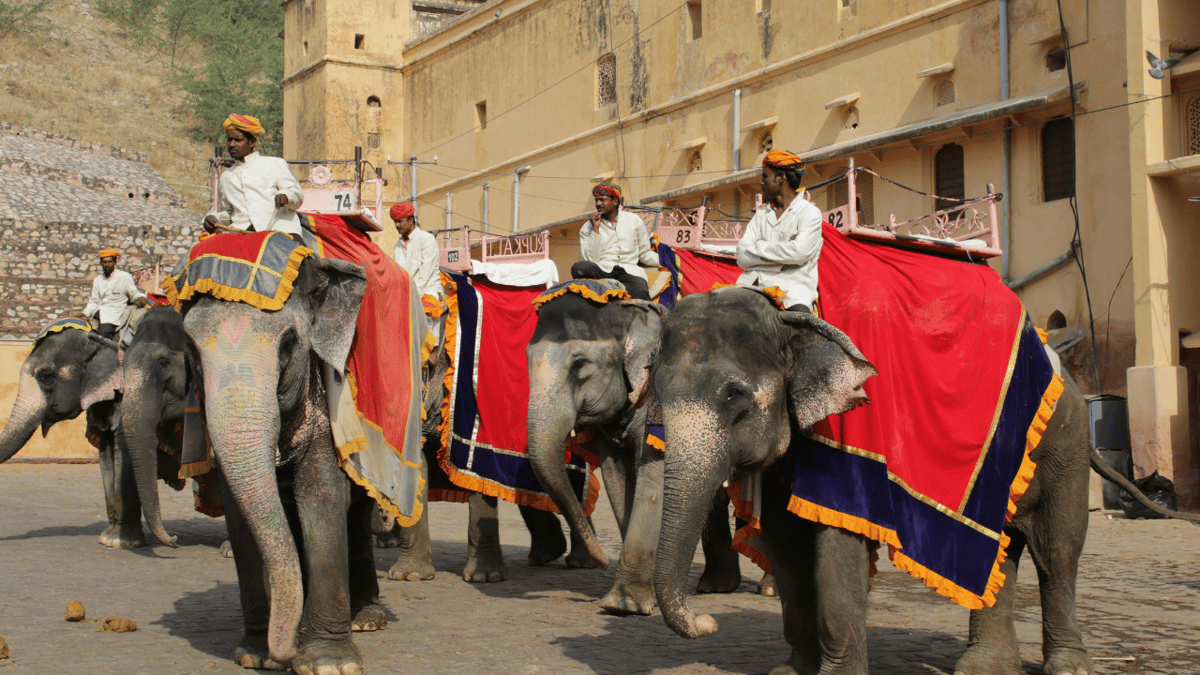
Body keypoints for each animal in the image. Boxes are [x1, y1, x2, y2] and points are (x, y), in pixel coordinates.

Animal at [177, 253, 388, 672]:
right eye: (191, 348)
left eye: (288, 344)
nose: (285, 653)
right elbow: (240, 515)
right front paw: (256, 655)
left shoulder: (327, 408)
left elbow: (321, 497)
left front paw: (328, 662)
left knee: (357, 514)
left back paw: (366, 619)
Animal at [525, 289, 758, 614]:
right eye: (527, 357)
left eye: (579, 364)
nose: (602, 561)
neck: (632, 313)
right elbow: (617, 480)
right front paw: (639, 599)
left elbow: (654, 481)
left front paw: (625, 606)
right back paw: (716, 586)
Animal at [652, 290, 1108, 675]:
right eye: (656, 392)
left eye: (735, 396)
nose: (708, 620)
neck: (789, 318)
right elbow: (786, 547)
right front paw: (792, 671)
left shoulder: (849, 437)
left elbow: (836, 546)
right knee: (1004, 551)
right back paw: (984, 669)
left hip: (1066, 445)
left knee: (1057, 553)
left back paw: (1068, 667)